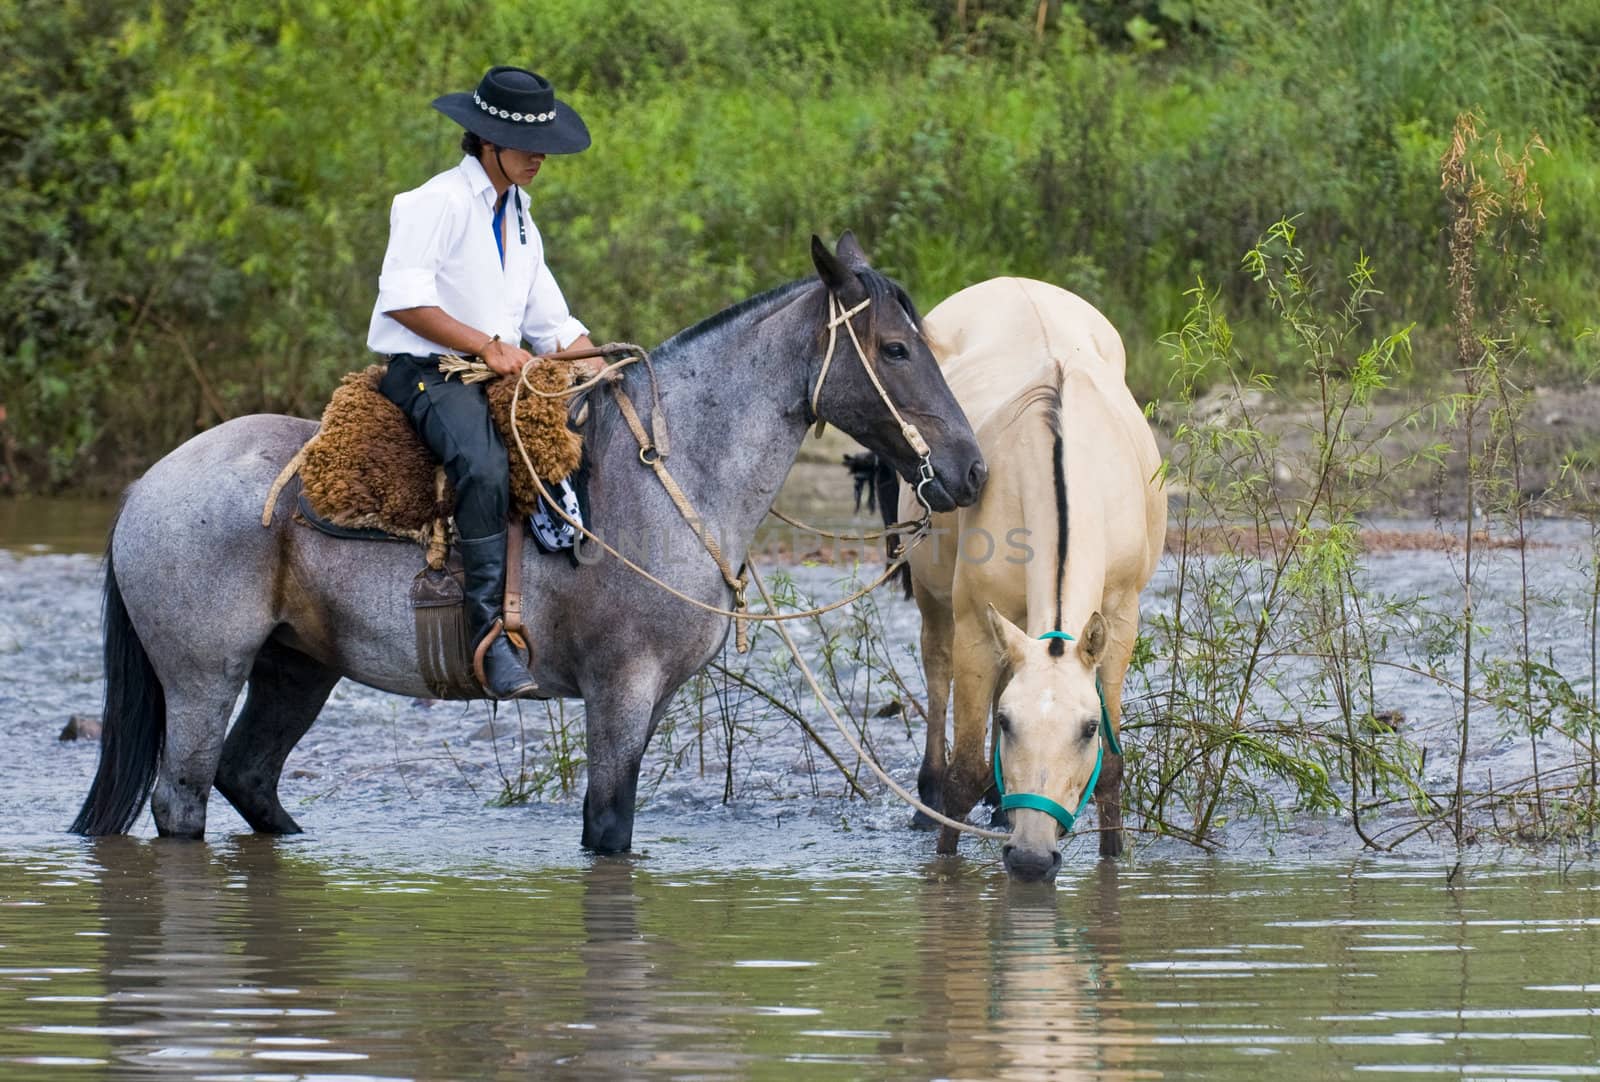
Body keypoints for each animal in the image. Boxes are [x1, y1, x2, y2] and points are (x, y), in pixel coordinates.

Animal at [72, 236, 985, 851]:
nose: (969, 471)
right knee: (183, 799)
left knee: (249, 778)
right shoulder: (621, 690)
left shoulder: (649, 696)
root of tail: (146, 487)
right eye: (894, 348)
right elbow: (607, 827)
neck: (673, 472)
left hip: (297, 666)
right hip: (202, 675)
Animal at [902, 278, 1164, 877]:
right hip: (933, 598)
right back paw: (929, 797)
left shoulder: (1119, 621)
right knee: (936, 669)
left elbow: (1111, 771)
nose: (1030, 858)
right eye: (1006, 724)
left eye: (1087, 728)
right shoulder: (976, 623)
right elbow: (965, 773)